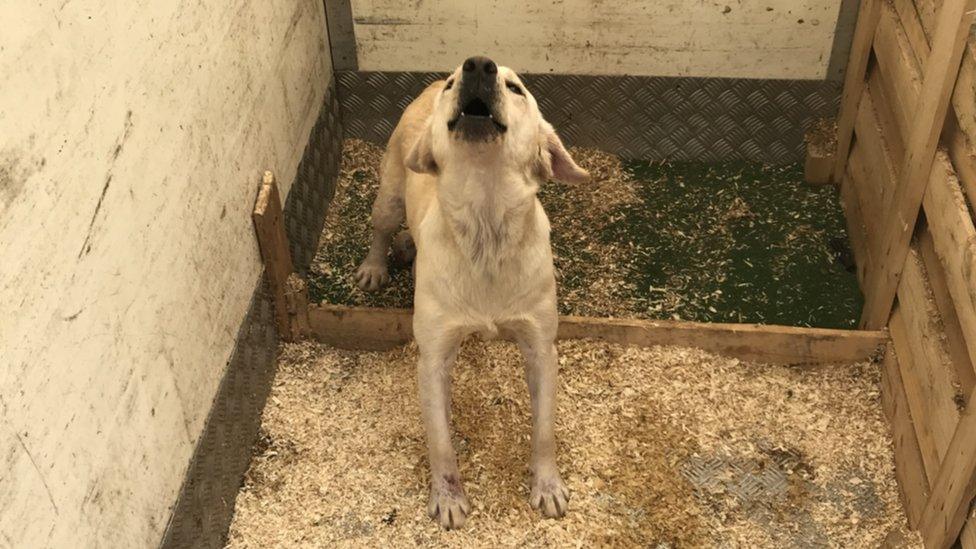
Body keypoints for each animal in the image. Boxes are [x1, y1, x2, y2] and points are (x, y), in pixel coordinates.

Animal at [356, 55, 592, 528]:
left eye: (517, 88)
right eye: (456, 83)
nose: (477, 66)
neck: (486, 224)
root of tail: (429, 84)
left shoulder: (541, 348)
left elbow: (544, 431)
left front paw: (547, 486)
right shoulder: (432, 359)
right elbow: (441, 444)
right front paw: (448, 499)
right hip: (389, 193)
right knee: (382, 228)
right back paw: (375, 266)